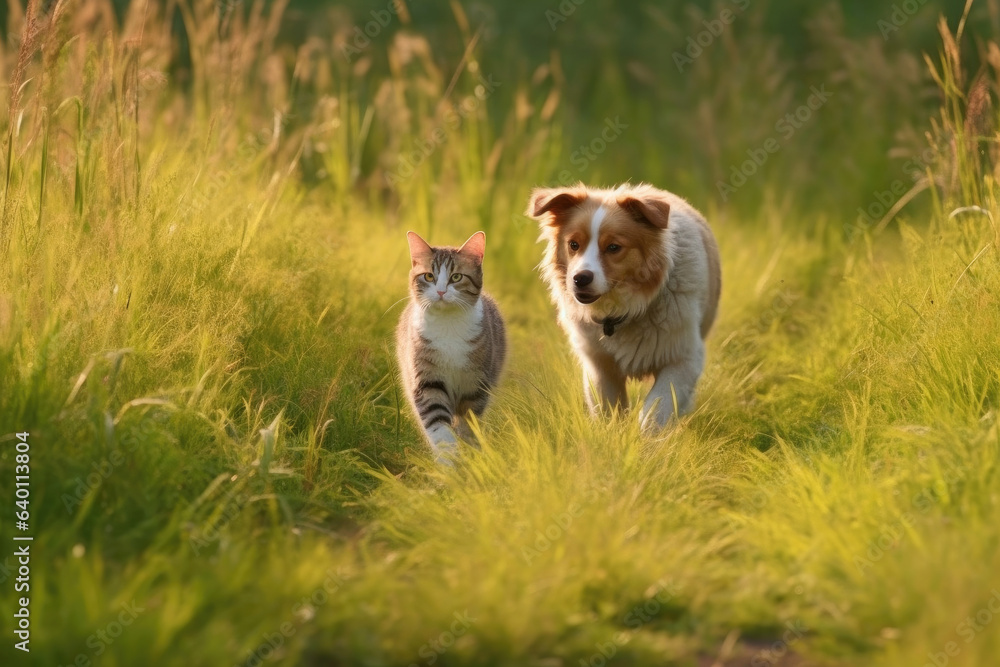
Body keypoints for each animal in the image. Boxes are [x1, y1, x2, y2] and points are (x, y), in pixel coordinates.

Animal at [396, 231, 508, 464]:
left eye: (456, 277)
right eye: (429, 276)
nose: (440, 291)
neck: (447, 326)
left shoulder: (476, 384)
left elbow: (468, 425)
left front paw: (469, 458)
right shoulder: (427, 381)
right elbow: (439, 427)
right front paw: (448, 464)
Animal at [524, 183, 720, 430]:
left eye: (613, 247)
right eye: (573, 245)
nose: (580, 278)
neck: (623, 309)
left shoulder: (683, 358)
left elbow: (657, 407)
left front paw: (646, 435)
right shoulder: (600, 364)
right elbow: (609, 411)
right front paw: (613, 434)